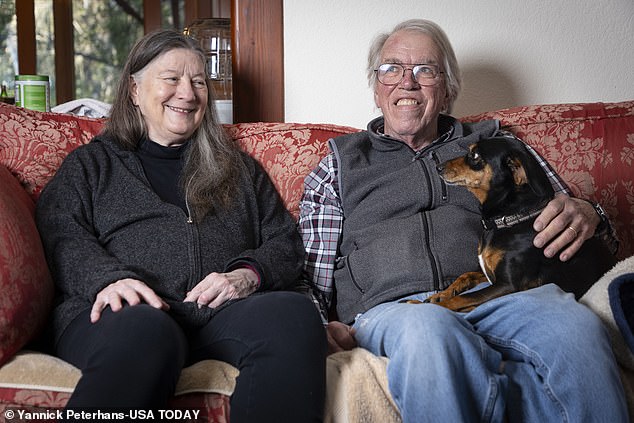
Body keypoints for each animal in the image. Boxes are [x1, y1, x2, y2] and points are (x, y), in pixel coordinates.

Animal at [410, 137, 612, 314]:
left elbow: (464, 298)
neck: (508, 220)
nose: (437, 167)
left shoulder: (507, 286)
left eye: (475, 155)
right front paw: (440, 295)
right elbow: (465, 275)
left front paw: (426, 305)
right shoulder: (491, 276)